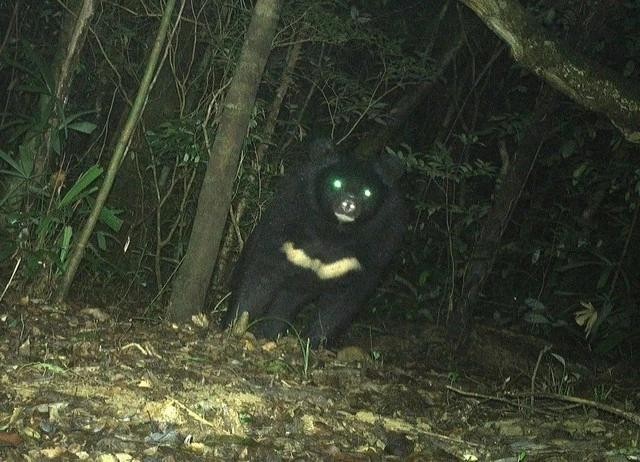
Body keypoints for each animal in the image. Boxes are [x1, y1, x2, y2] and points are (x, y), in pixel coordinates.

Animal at [222, 142, 408, 346]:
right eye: (336, 183)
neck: (333, 231)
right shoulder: (285, 228)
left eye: (368, 192)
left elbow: (341, 303)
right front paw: (234, 327)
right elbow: (259, 277)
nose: (348, 204)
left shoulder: (370, 254)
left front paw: (312, 342)